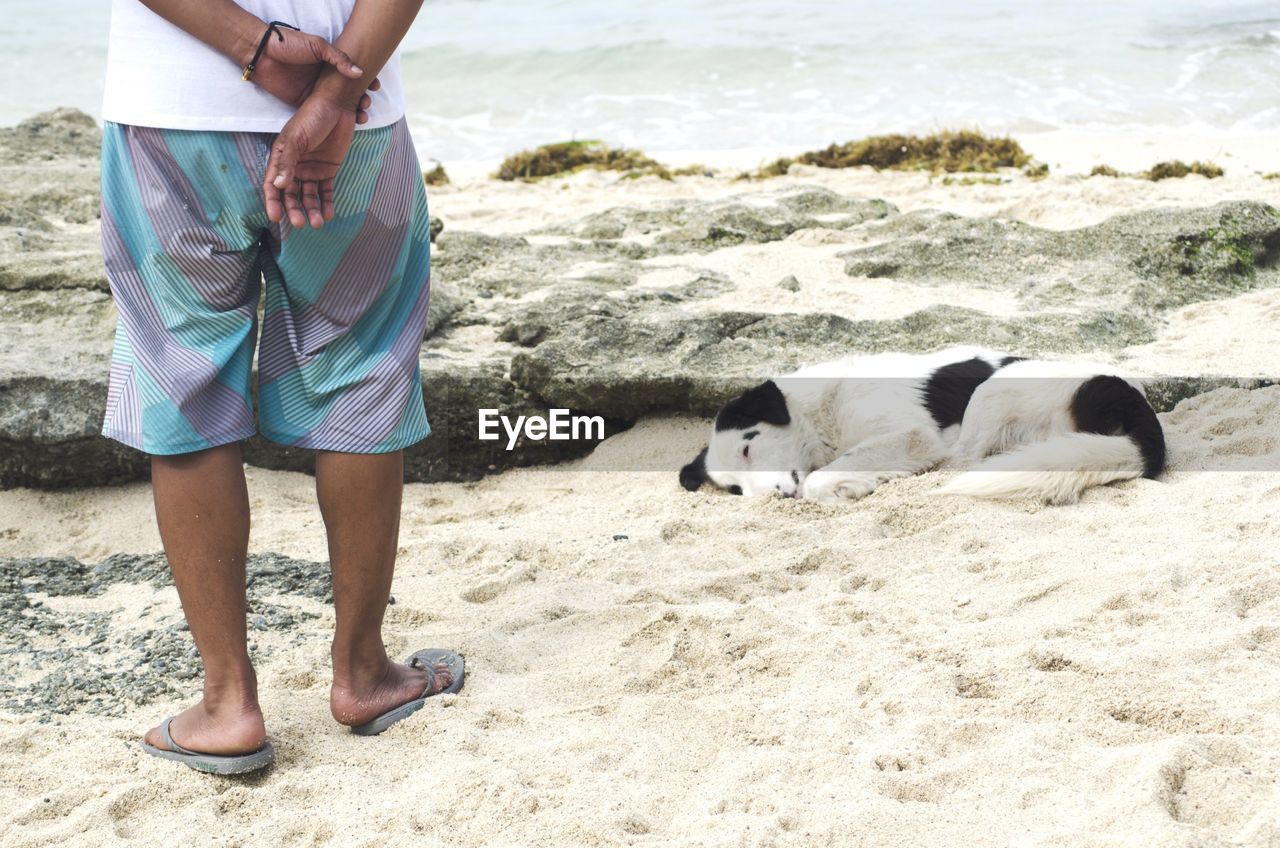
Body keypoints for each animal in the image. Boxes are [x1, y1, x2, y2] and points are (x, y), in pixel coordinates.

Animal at [686, 345, 1167, 504]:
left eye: (749, 446)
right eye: (734, 489)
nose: (765, 500)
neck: (821, 405)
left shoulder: (914, 435)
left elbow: (821, 478)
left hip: (995, 389)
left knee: (963, 460)